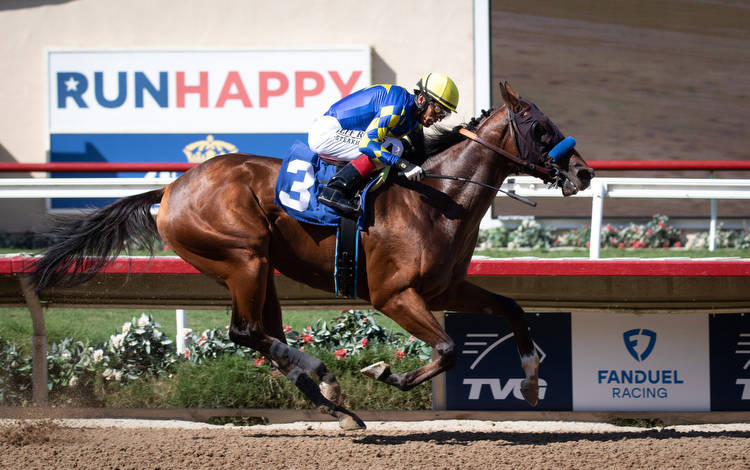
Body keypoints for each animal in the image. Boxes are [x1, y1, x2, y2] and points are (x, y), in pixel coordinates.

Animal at [29, 81, 592, 430]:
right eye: (540, 128)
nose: (583, 173)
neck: (436, 199)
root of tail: (169, 190)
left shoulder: (445, 287)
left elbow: (512, 310)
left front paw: (532, 385)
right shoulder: (393, 294)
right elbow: (449, 349)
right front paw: (385, 373)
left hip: (259, 270)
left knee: (265, 335)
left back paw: (334, 403)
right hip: (243, 258)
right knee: (245, 333)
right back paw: (327, 379)